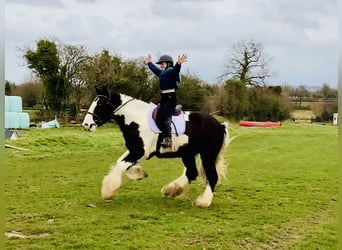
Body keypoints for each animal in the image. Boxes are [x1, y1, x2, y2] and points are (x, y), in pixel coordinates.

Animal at [81, 86, 230, 207]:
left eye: (100, 103)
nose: (86, 125)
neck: (137, 120)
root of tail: (219, 125)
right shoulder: (135, 150)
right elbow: (122, 163)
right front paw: (139, 173)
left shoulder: (139, 151)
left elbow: (120, 165)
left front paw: (108, 192)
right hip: (188, 154)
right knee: (191, 172)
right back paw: (171, 190)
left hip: (207, 155)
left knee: (212, 176)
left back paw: (203, 202)